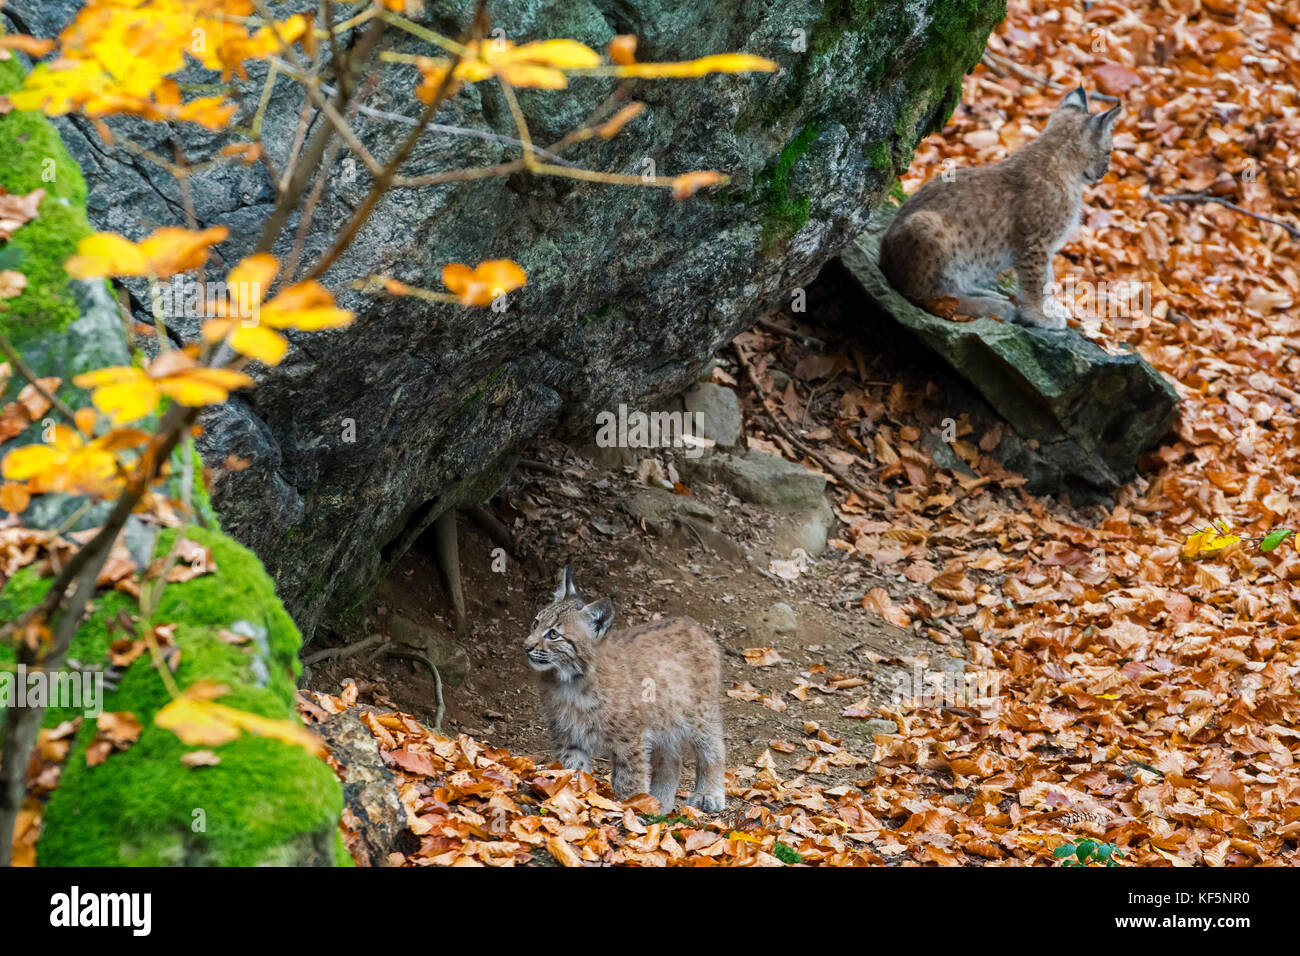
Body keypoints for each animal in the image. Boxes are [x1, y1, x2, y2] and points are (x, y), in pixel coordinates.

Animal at [527, 567, 733, 816]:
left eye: (554, 634)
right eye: (535, 623)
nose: (526, 646)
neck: (569, 681)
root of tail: (690, 623)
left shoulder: (629, 737)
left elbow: (629, 778)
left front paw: (631, 808)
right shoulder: (566, 733)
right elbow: (572, 769)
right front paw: (573, 798)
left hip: (698, 714)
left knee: (714, 747)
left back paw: (708, 795)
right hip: (662, 718)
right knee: (672, 762)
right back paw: (659, 805)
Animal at [878, 89, 1123, 329]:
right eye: (1109, 152)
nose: (1105, 171)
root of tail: (883, 259)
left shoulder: (1042, 245)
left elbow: (1048, 278)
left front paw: (1050, 308)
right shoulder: (1036, 244)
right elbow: (1037, 282)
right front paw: (1041, 316)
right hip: (928, 227)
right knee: (932, 298)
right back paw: (995, 307)